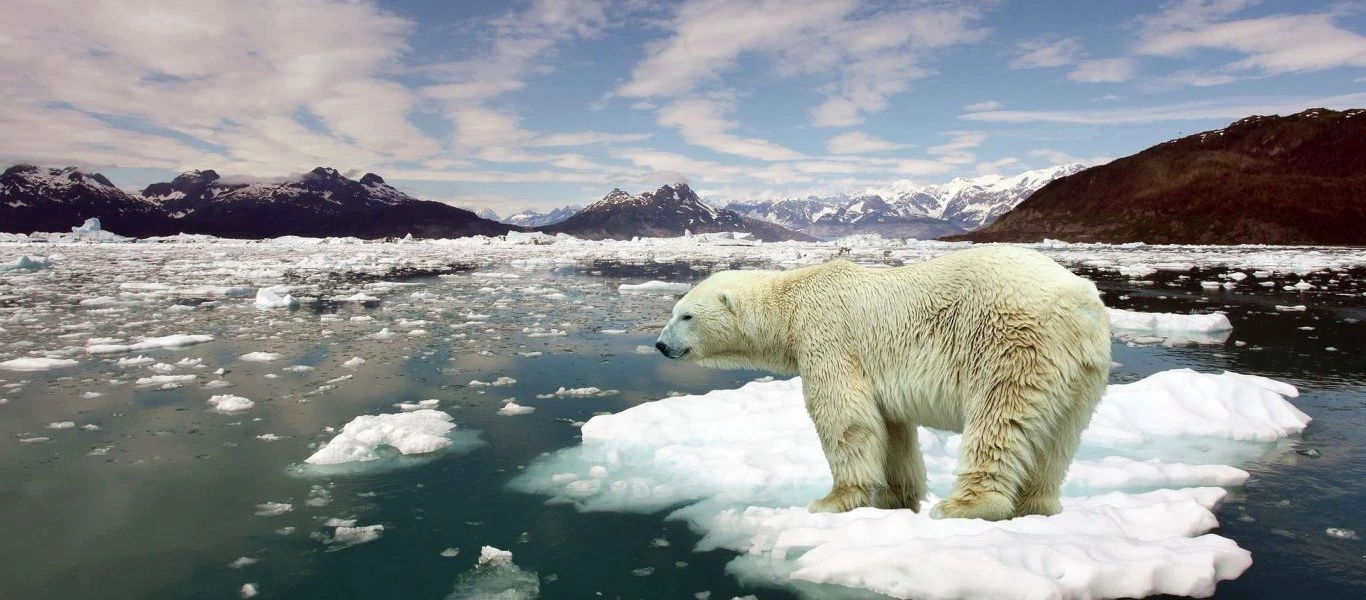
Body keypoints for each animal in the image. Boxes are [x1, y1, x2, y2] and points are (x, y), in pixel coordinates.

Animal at [652, 246, 1109, 519]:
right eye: (674, 311)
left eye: (685, 315)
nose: (660, 345)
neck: (791, 302)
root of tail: (1080, 303)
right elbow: (892, 429)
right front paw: (896, 498)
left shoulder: (828, 336)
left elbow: (845, 417)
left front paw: (832, 500)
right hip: (1081, 372)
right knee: (1058, 439)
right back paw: (1036, 506)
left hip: (1011, 343)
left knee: (999, 419)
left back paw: (963, 505)